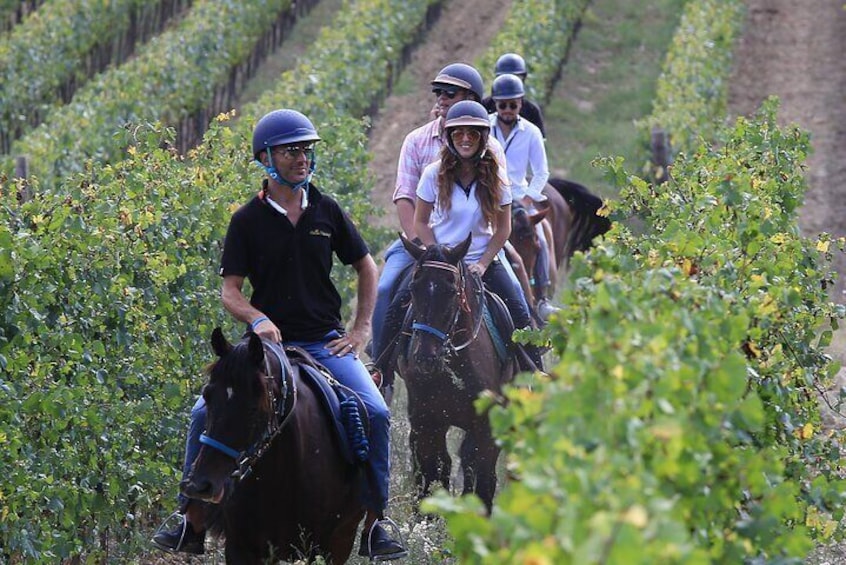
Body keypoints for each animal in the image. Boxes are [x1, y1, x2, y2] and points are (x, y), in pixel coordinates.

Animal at [400, 234, 516, 512]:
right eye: (414, 289)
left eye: (451, 292)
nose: (425, 359)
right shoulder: (426, 421)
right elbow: (432, 472)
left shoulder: (485, 424)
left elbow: (478, 474)